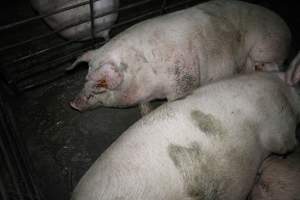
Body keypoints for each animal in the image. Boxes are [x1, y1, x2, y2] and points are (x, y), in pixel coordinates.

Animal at [68, 0, 290, 114]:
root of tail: (286, 29)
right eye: (85, 76)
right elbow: (144, 108)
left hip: (265, 47)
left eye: (99, 86)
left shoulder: (185, 80)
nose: (73, 103)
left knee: (271, 66)